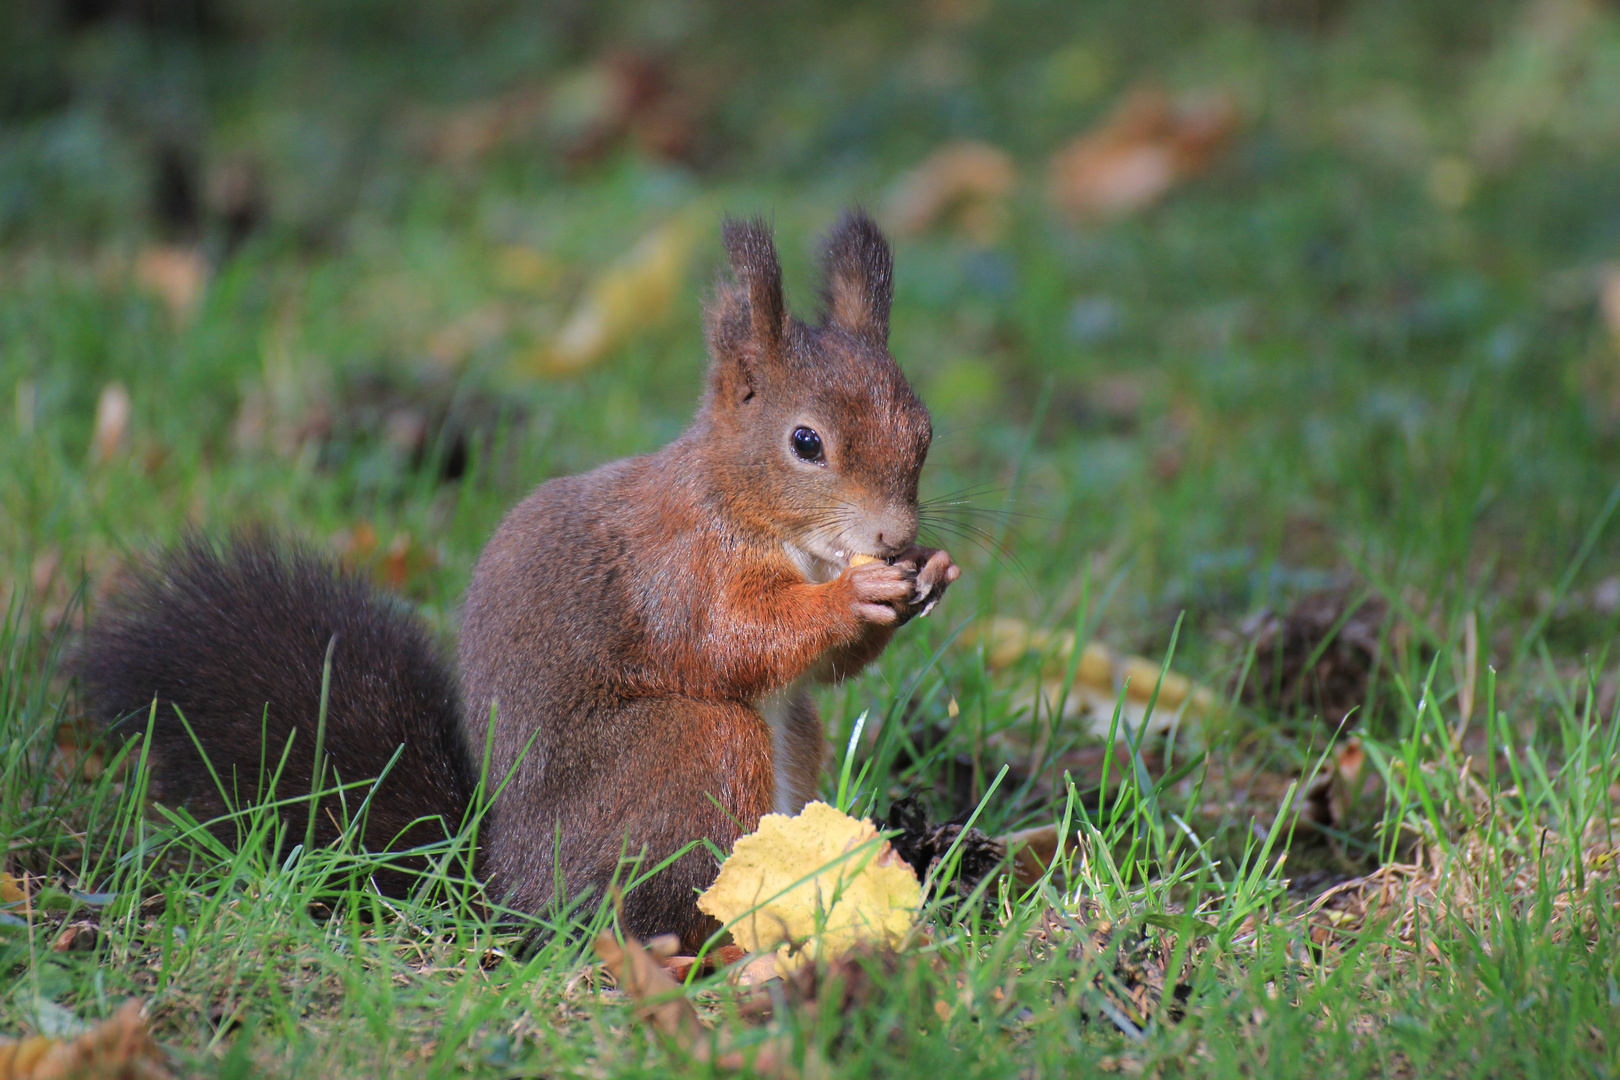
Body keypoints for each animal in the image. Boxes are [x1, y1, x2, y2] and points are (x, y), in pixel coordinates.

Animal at [76, 208, 952, 945]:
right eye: (806, 442)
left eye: (925, 431)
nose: (894, 536)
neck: (761, 519)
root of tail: (502, 885)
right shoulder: (678, 568)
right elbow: (731, 639)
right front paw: (855, 594)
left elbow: (824, 670)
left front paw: (928, 576)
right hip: (689, 749)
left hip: (789, 742)